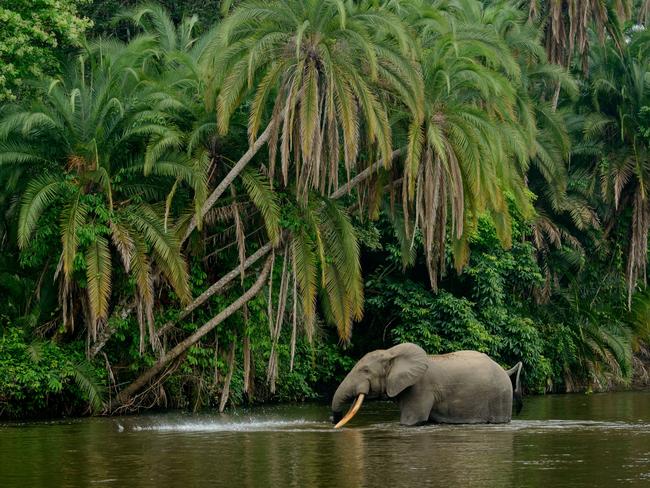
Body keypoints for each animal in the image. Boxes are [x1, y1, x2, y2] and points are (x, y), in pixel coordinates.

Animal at [330, 344, 520, 428]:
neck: (391, 352)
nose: (334, 422)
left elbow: (411, 421)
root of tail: (505, 370)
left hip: (501, 395)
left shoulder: (420, 388)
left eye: (365, 370)